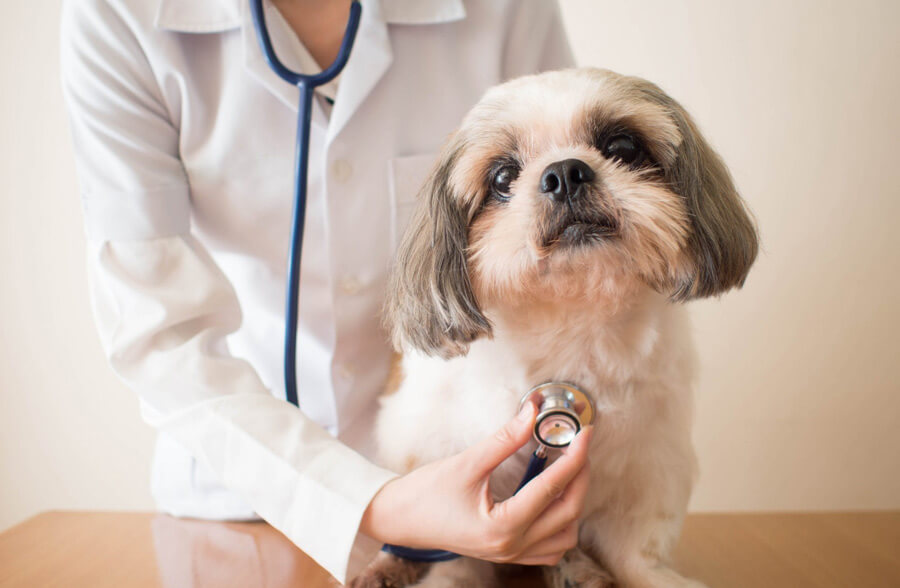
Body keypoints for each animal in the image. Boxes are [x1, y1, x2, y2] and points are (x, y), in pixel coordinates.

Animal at [356, 66, 756, 584]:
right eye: (503, 176)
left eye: (622, 146)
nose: (565, 172)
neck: (573, 321)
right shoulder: (437, 454)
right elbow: (453, 553)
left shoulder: (651, 466)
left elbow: (636, 550)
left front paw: (647, 575)